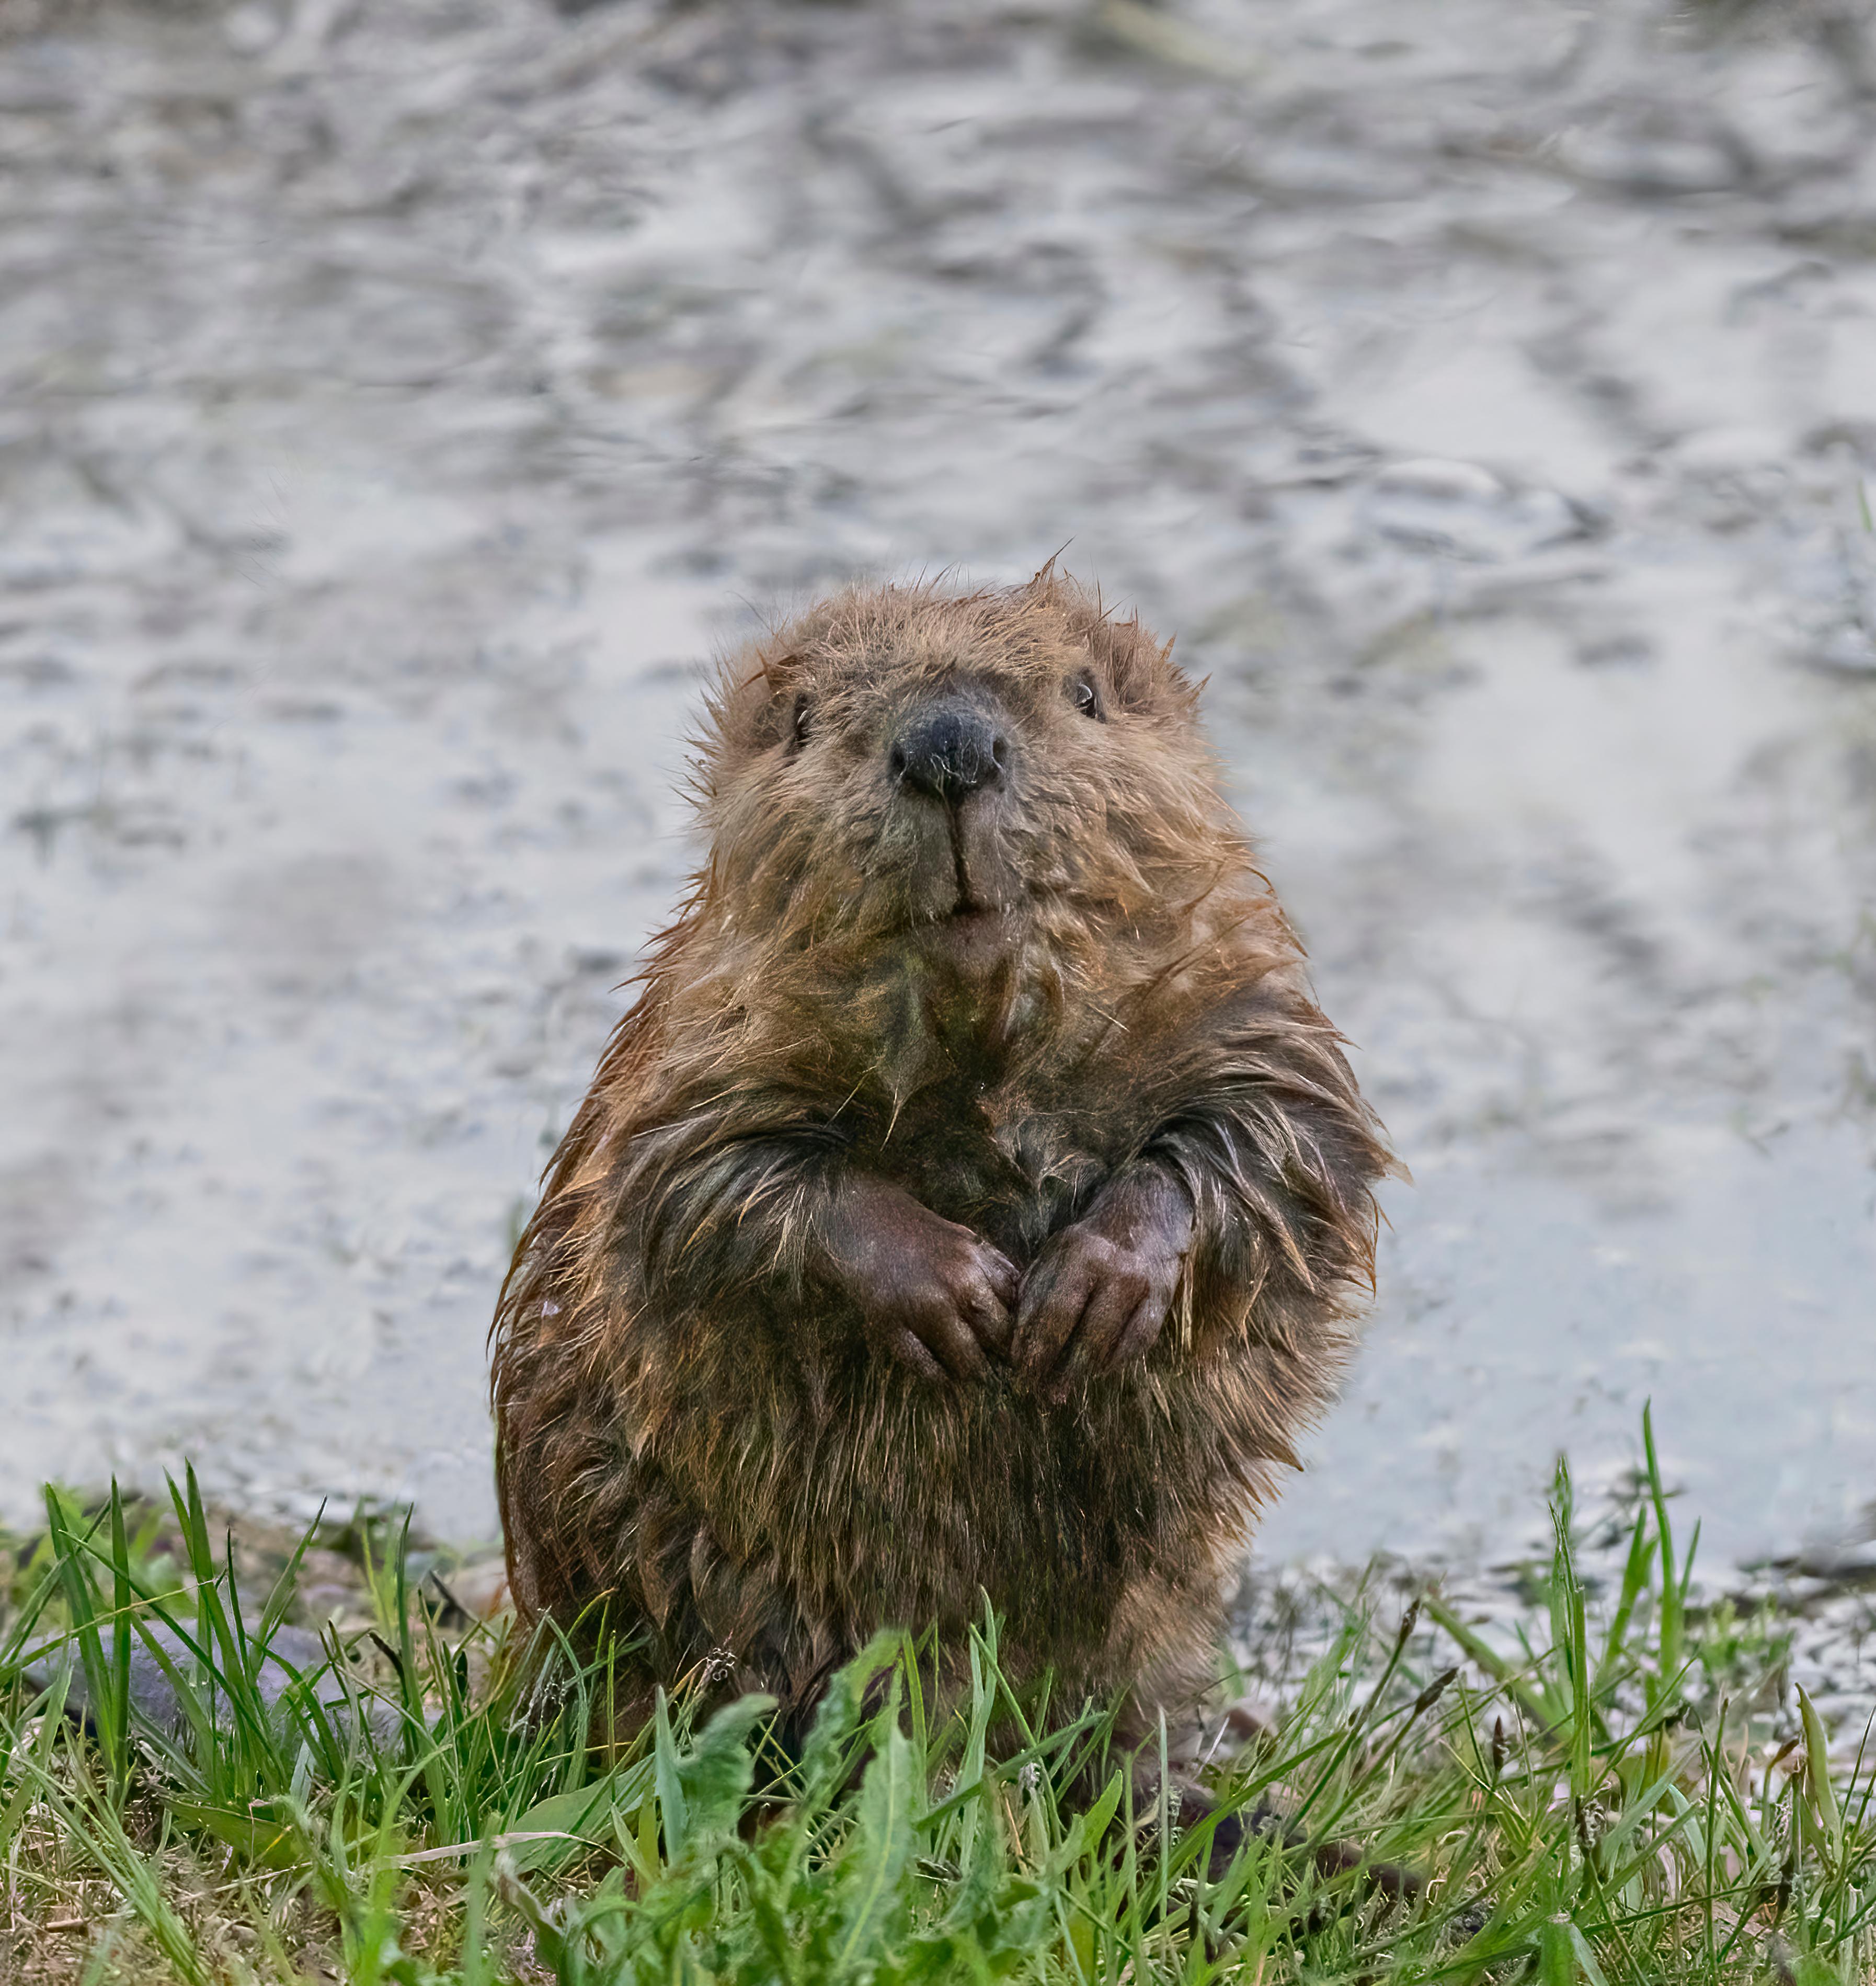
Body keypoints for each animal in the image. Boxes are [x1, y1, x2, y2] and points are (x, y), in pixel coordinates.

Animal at [482, 572, 1389, 1740]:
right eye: (806, 718)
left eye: (1085, 693)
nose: (948, 747)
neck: (985, 1038)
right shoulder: (698, 1037)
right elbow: (695, 1187)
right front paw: (958, 1295)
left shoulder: (1238, 991)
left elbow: (1284, 1134)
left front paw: (1082, 1296)